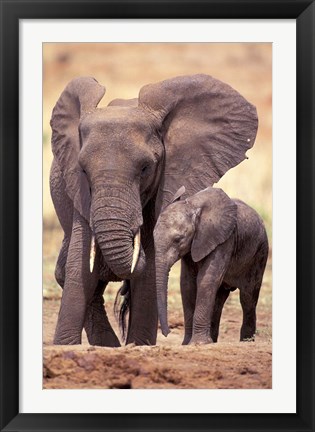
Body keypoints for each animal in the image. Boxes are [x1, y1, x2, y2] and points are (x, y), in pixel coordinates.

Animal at [48, 73, 256, 344]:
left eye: (146, 168)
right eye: (82, 169)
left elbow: (148, 276)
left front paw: (139, 344)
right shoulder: (80, 194)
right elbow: (80, 265)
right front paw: (64, 345)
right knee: (67, 272)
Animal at [153, 186, 270, 344]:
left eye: (178, 239)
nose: (167, 332)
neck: (193, 205)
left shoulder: (225, 239)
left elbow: (206, 280)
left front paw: (198, 344)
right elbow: (187, 284)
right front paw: (187, 344)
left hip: (259, 254)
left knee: (248, 297)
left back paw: (246, 342)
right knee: (219, 301)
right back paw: (213, 341)